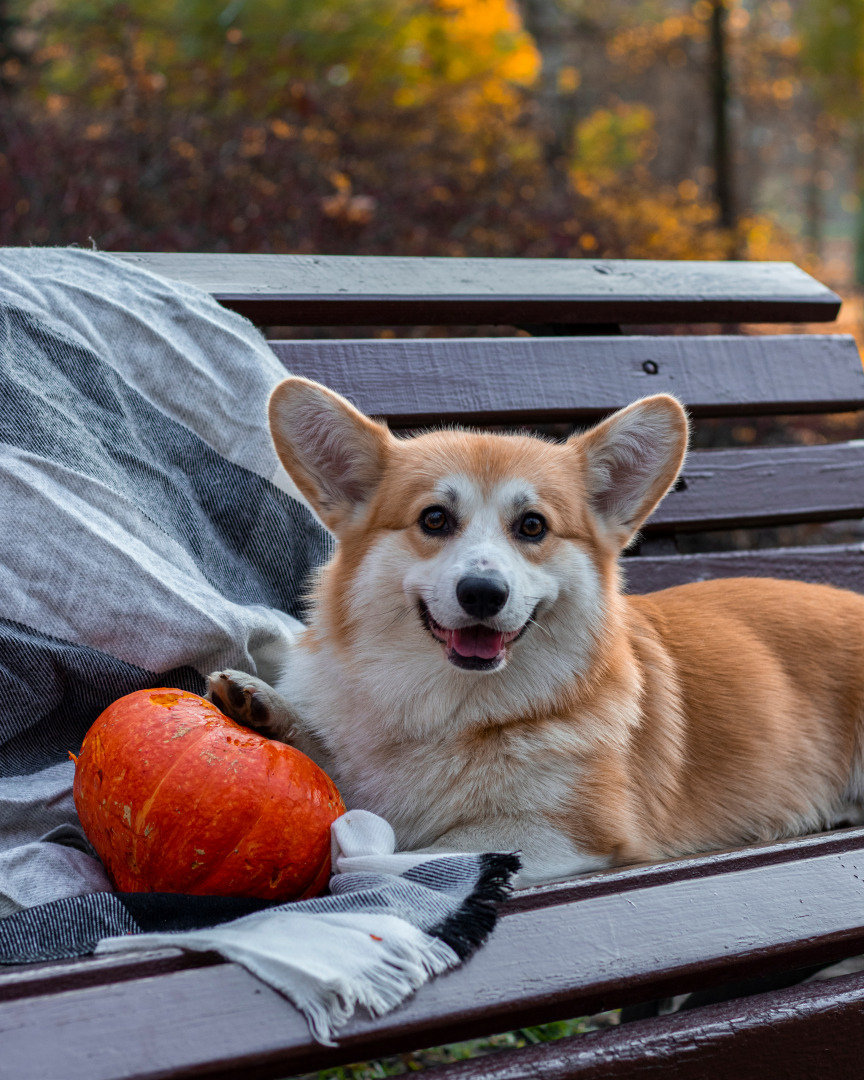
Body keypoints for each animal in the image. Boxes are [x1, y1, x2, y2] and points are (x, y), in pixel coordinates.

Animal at [207, 380, 864, 885]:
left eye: (532, 526)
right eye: (434, 519)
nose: (482, 593)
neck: (450, 710)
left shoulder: (562, 832)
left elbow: (402, 855)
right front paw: (266, 709)